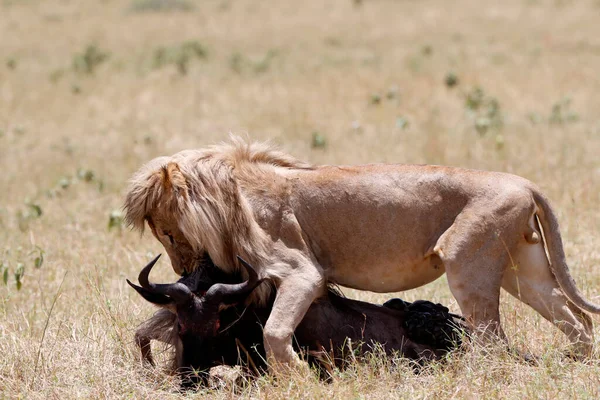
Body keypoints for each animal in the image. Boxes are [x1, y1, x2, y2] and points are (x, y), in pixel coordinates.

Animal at [123, 136, 600, 368]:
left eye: (167, 233)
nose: (183, 270)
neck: (232, 192)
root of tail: (525, 183)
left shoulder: (303, 273)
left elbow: (274, 332)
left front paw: (300, 378)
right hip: (524, 270)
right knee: (577, 322)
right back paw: (572, 365)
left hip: (467, 264)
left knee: (490, 339)